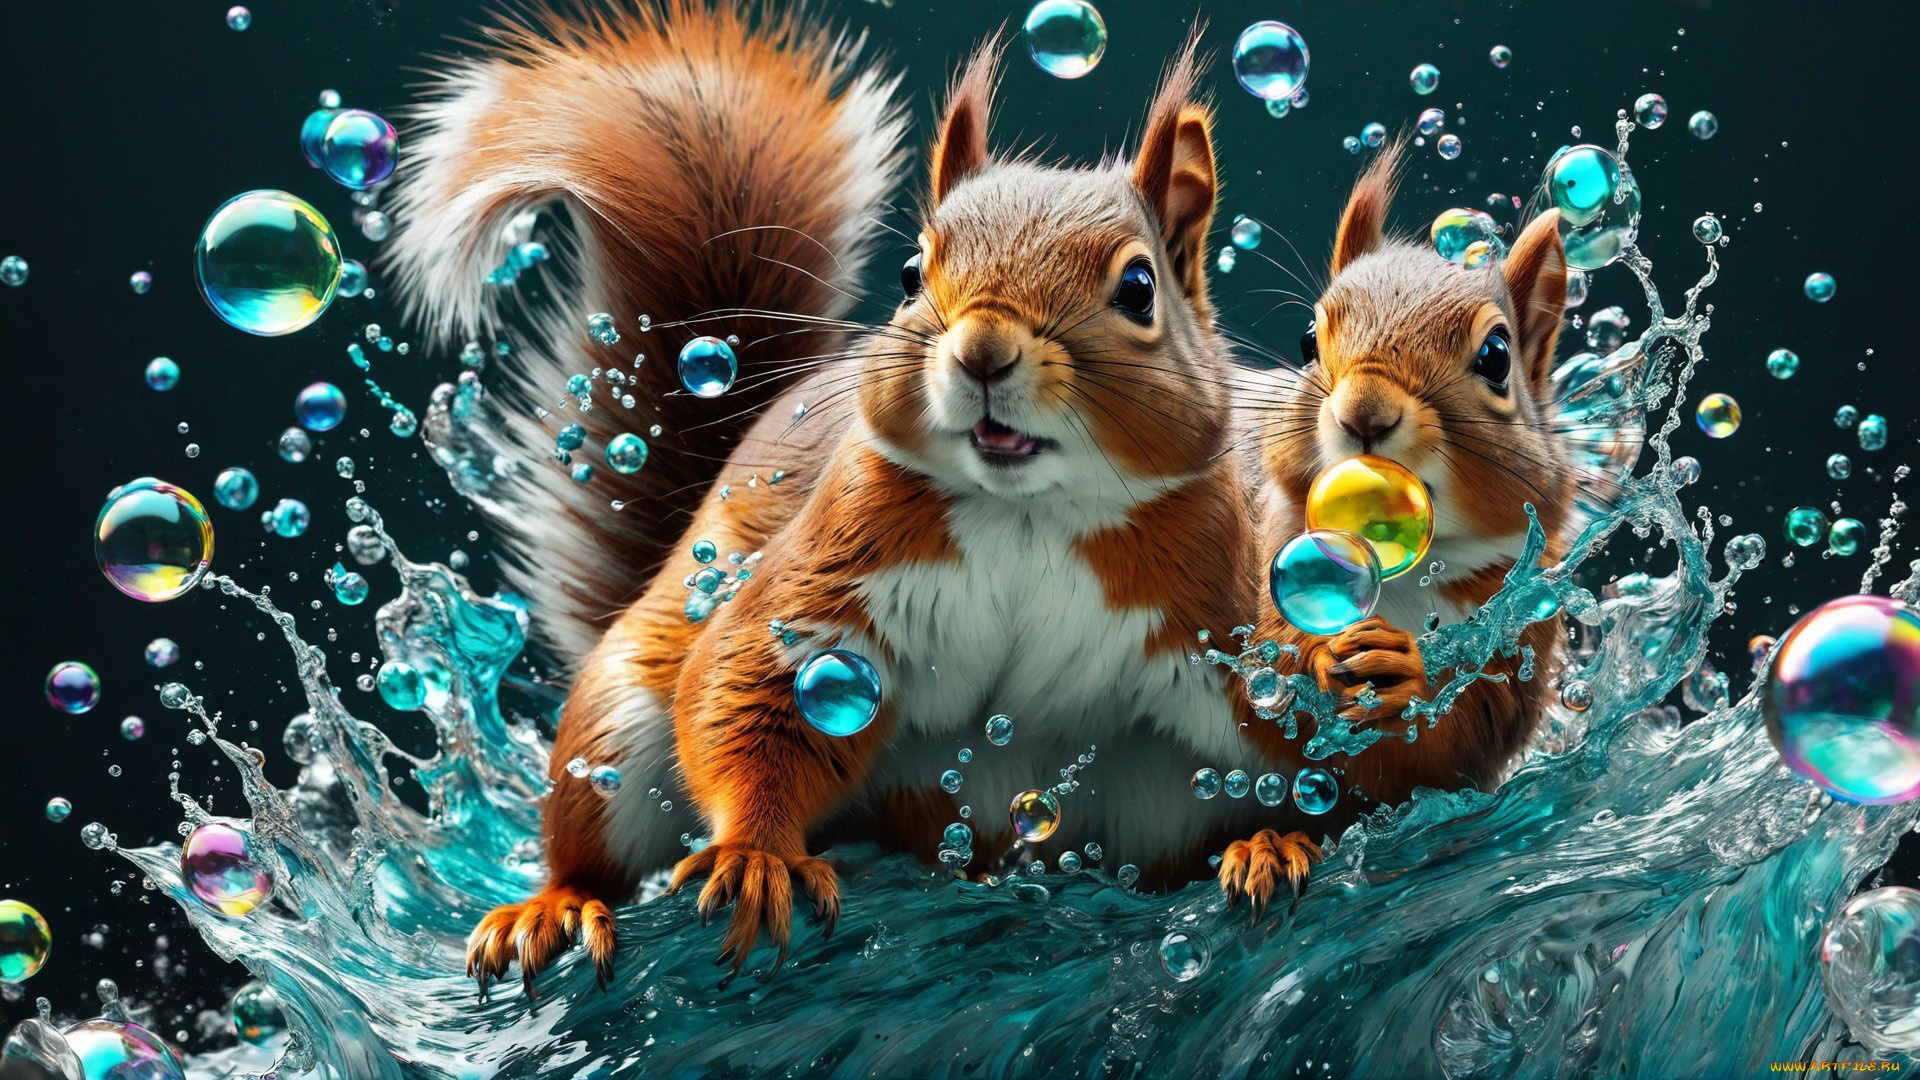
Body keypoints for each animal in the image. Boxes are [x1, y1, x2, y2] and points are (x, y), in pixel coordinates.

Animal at [391, 5, 1313, 993]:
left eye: (1139, 288)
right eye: (913, 274)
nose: (983, 351)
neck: (1028, 511)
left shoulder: (1214, 613)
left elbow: (1298, 744)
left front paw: (1278, 841)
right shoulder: (830, 582)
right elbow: (748, 693)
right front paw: (756, 856)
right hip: (616, 726)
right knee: (587, 840)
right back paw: (552, 909)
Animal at [1217, 142, 1578, 914]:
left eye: (1496, 357)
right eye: (1306, 341)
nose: (1365, 411)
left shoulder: (1526, 624)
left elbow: (1460, 746)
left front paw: (1404, 676)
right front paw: (1318, 660)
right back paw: (1268, 848)